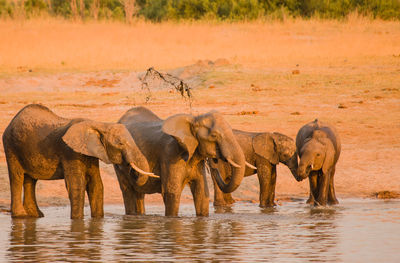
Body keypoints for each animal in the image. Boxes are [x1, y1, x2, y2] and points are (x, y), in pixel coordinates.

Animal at [2, 104, 155, 220]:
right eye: (120, 143)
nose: (129, 168)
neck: (98, 125)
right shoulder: (70, 151)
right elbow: (76, 184)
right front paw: (77, 221)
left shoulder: (91, 153)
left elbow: (96, 184)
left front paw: (97, 220)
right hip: (10, 146)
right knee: (17, 177)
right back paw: (21, 217)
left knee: (30, 180)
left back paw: (36, 216)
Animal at [111, 106, 245, 218]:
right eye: (214, 135)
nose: (216, 167)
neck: (194, 119)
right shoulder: (170, 155)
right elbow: (172, 192)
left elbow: (202, 193)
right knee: (127, 190)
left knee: (139, 193)